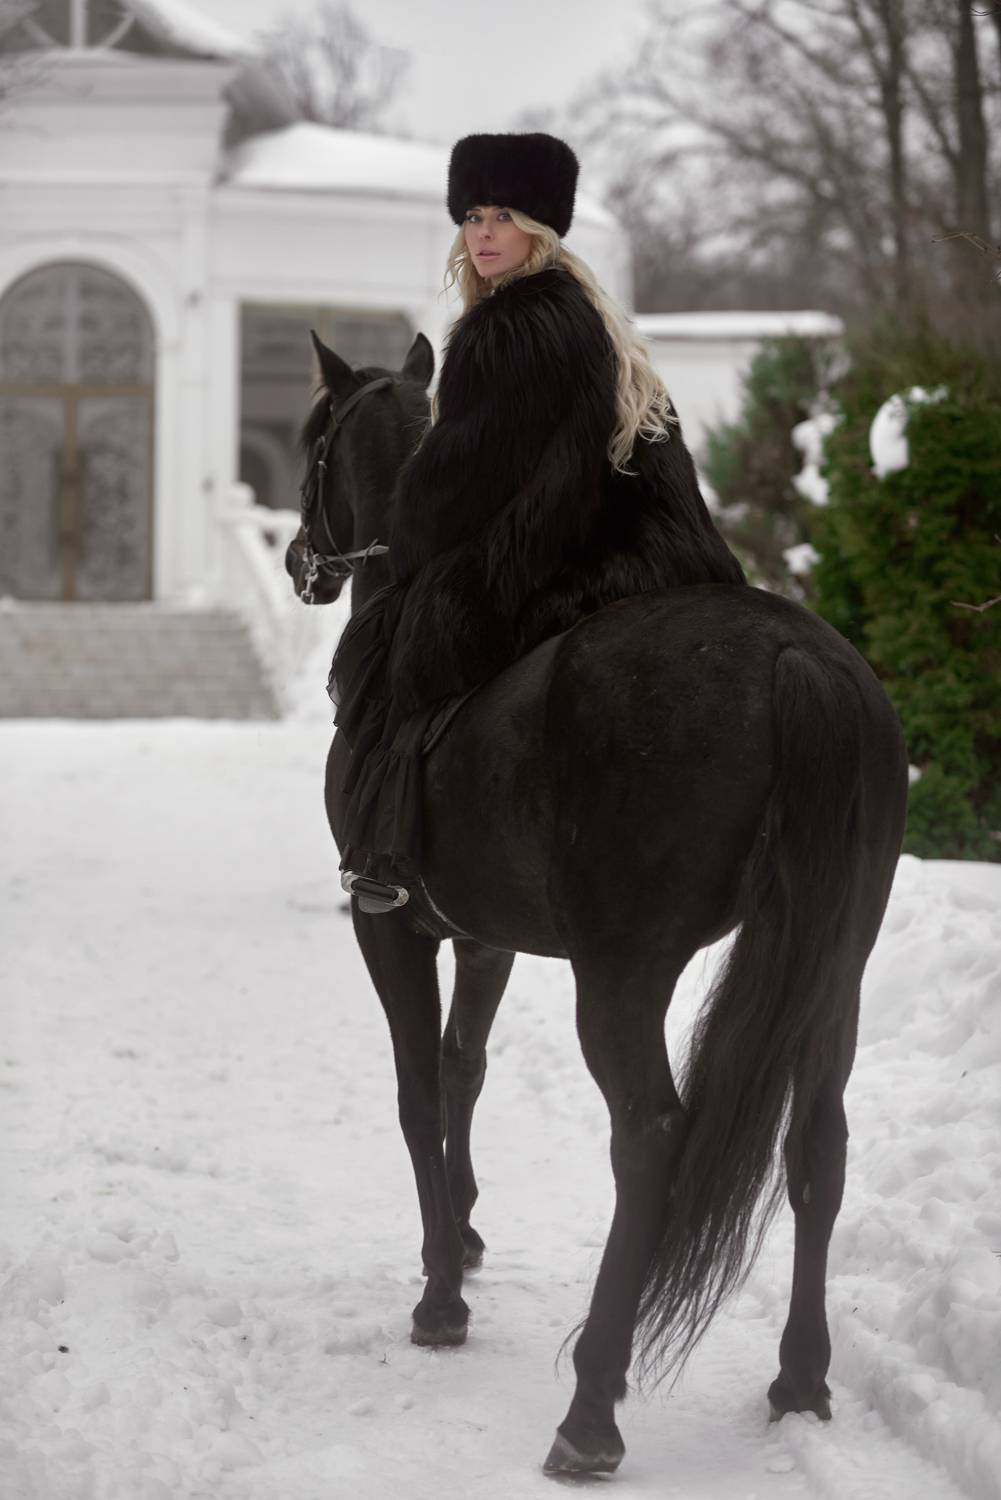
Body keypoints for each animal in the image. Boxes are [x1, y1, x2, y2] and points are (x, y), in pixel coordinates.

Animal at [285, 327, 909, 1477]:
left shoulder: (390, 926)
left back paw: (589, 1410)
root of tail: (795, 661)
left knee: (649, 1140)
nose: (303, 561)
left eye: (313, 441)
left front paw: (440, 1295)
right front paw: (465, 1232)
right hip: (833, 964)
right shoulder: (481, 937)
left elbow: (417, 1090)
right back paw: (799, 1378)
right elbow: (464, 1066)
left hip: (624, 973)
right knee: (818, 1143)